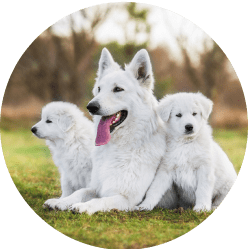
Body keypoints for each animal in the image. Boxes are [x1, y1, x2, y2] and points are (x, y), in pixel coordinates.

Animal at [46, 48, 167, 214]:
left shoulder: (126, 199)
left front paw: (83, 206)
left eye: (118, 89)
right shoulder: (95, 187)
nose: (91, 107)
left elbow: (100, 201)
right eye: (99, 89)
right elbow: (80, 192)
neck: (118, 147)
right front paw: (62, 201)